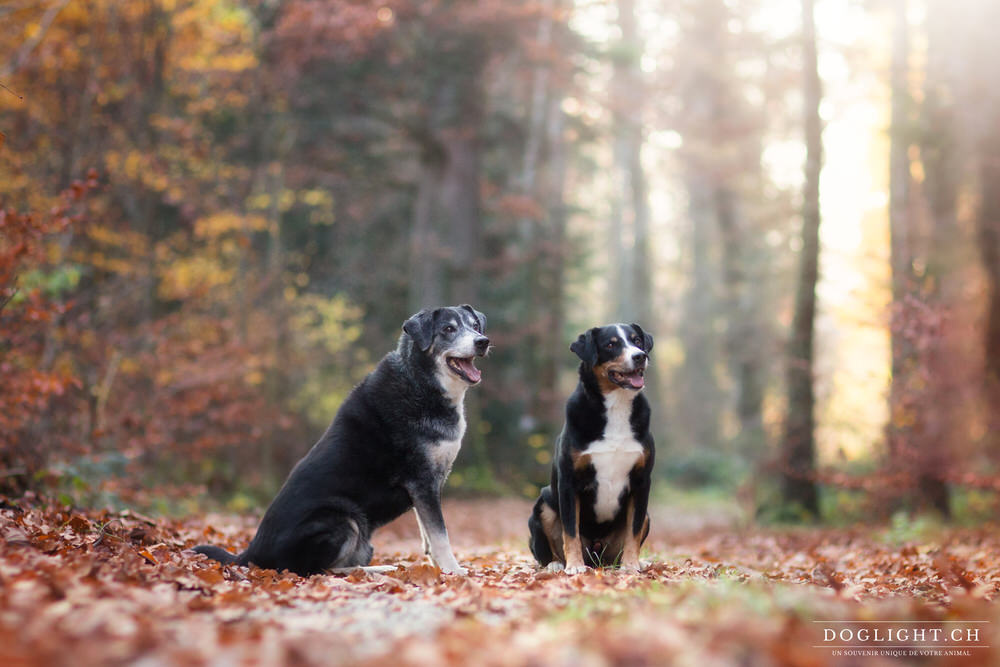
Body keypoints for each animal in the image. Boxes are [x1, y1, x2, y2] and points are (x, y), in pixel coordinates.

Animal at [191, 306, 488, 576]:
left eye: (475, 325)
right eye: (448, 329)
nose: (482, 341)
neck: (420, 383)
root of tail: (251, 555)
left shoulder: (425, 488)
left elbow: (427, 535)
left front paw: (438, 568)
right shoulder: (422, 481)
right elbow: (440, 535)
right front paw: (454, 571)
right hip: (343, 518)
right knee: (319, 570)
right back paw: (373, 570)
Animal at [524, 324, 656, 576]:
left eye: (637, 341)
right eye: (611, 344)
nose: (640, 356)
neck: (616, 407)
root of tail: (596, 553)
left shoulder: (641, 481)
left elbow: (633, 531)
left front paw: (631, 565)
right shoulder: (569, 481)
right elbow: (570, 531)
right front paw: (574, 565)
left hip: (644, 517)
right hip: (544, 503)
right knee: (545, 551)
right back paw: (556, 563)